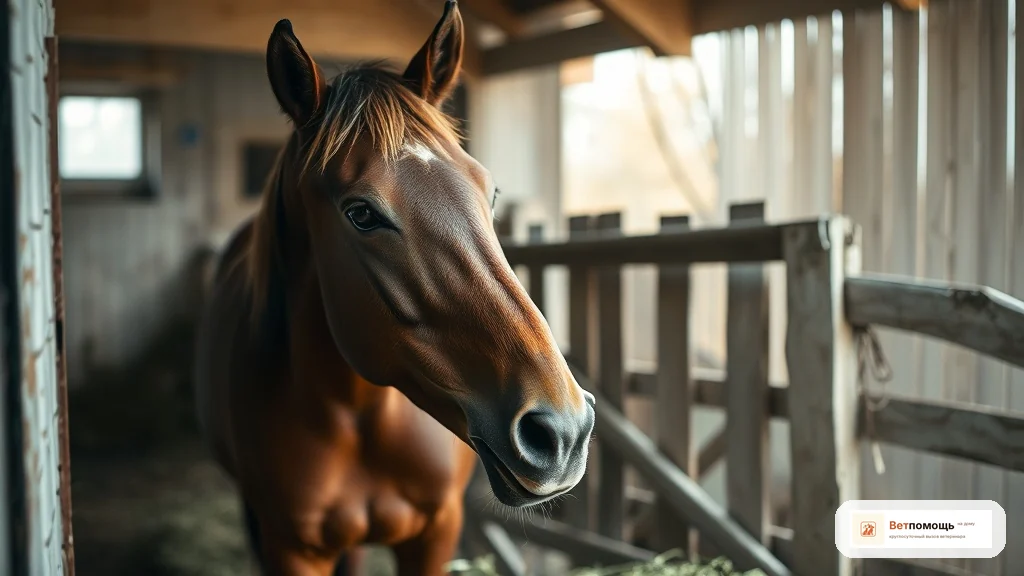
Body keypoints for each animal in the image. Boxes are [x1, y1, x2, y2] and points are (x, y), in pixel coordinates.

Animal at [193, 2, 596, 575]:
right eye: (360, 213)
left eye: (491, 192)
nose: (561, 432)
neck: (361, 419)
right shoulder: (288, 546)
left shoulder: (437, 531)